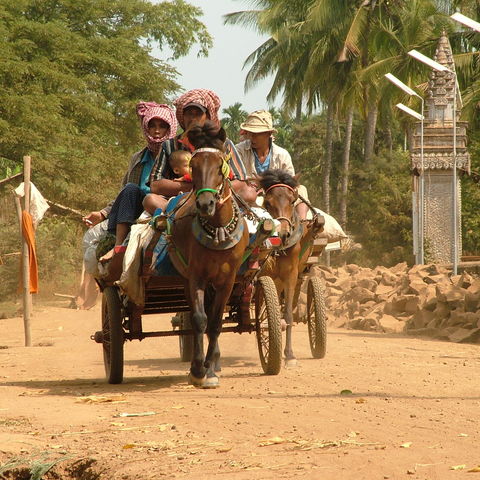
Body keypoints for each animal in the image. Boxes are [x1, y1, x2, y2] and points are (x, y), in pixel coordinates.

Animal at [168, 122, 249, 388]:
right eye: (193, 167)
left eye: (219, 166)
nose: (205, 204)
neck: (218, 229)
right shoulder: (196, 277)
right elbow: (199, 319)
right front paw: (197, 370)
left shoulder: (227, 281)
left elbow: (215, 323)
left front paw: (210, 370)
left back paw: (213, 362)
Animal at [256, 169, 320, 368]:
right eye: (267, 203)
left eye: (292, 201)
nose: (283, 234)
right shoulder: (261, 274)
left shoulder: (290, 275)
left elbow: (288, 316)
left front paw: (290, 355)